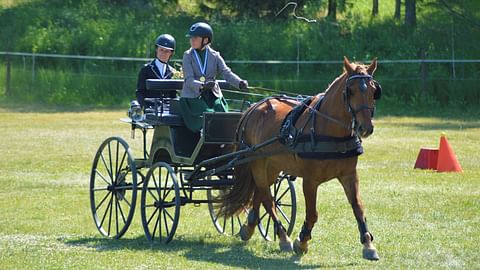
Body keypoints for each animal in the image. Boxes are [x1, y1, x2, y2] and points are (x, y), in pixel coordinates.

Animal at [219, 56, 380, 260]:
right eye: (350, 91)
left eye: (374, 91)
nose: (365, 128)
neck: (329, 129)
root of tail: (254, 108)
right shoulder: (310, 180)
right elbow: (312, 214)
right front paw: (302, 242)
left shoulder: (349, 175)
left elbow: (358, 207)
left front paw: (368, 245)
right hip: (257, 163)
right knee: (268, 199)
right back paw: (283, 238)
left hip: (272, 166)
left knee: (261, 194)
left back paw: (249, 227)